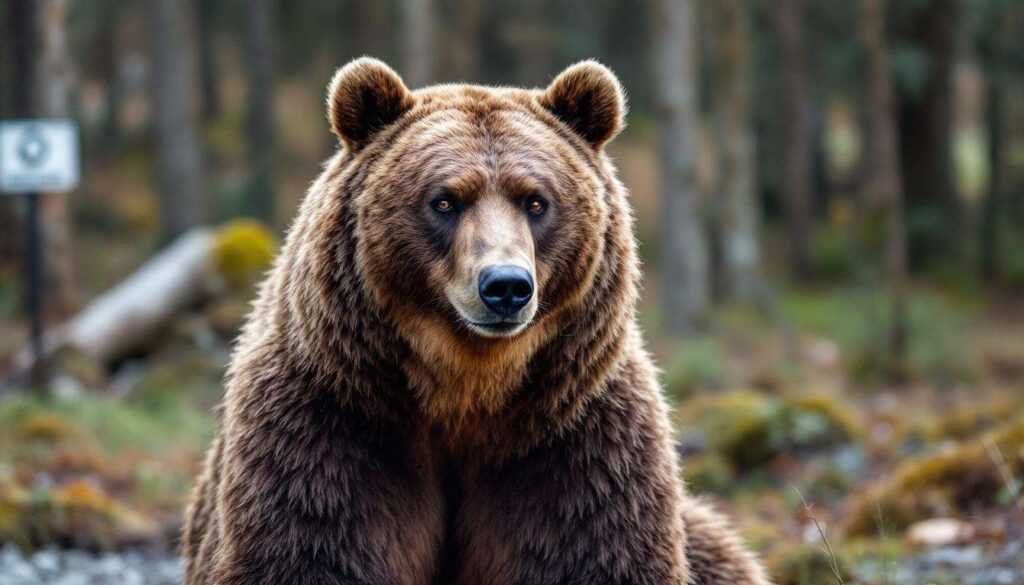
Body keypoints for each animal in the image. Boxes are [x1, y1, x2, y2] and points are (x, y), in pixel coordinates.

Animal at [182, 57, 770, 585]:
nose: (506, 286)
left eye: (536, 201)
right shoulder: (330, 426)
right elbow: (313, 548)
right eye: (444, 200)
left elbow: (591, 551)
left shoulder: (576, 444)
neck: (467, 390)